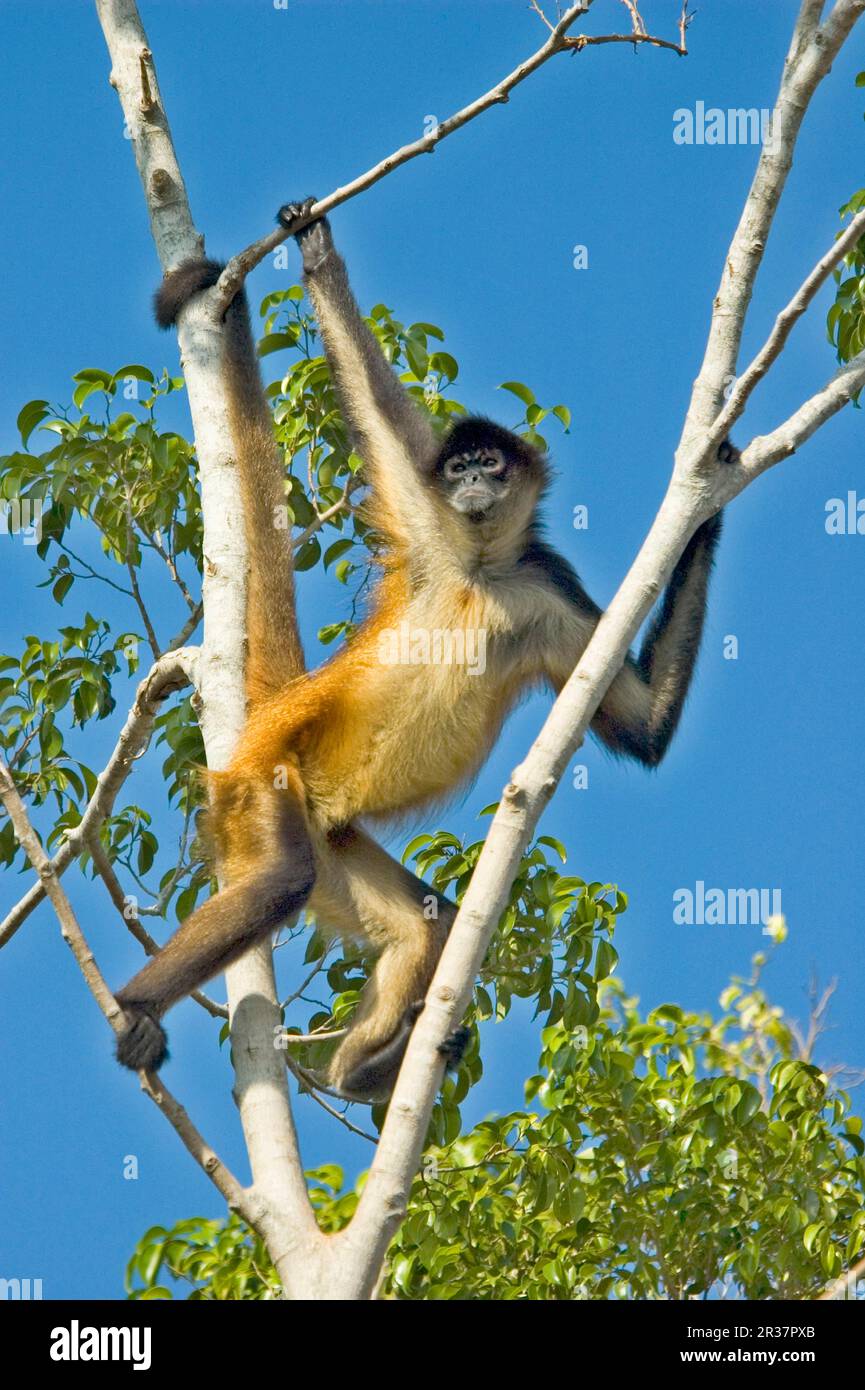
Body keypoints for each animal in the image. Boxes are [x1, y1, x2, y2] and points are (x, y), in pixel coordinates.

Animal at [114, 198, 735, 1102]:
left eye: (493, 468)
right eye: (460, 468)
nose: (472, 484)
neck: (477, 569)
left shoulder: (547, 587)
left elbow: (644, 725)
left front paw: (710, 501)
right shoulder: (423, 511)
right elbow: (376, 404)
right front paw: (315, 248)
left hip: (331, 832)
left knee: (421, 930)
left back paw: (357, 1071)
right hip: (265, 788)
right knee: (283, 879)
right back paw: (136, 1008)